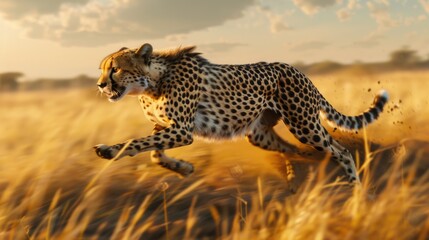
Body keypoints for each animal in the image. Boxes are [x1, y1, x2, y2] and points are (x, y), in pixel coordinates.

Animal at [93, 44, 388, 185]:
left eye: (115, 69)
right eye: (102, 69)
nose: (100, 85)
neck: (151, 83)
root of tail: (299, 71)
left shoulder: (181, 131)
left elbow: (136, 143)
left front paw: (109, 150)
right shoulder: (166, 127)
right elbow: (154, 152)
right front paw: (184, 168)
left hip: (305, 125)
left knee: (340, 151)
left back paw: (355, 187)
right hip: (259, 135)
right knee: (295, 150)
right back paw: (299, 174)